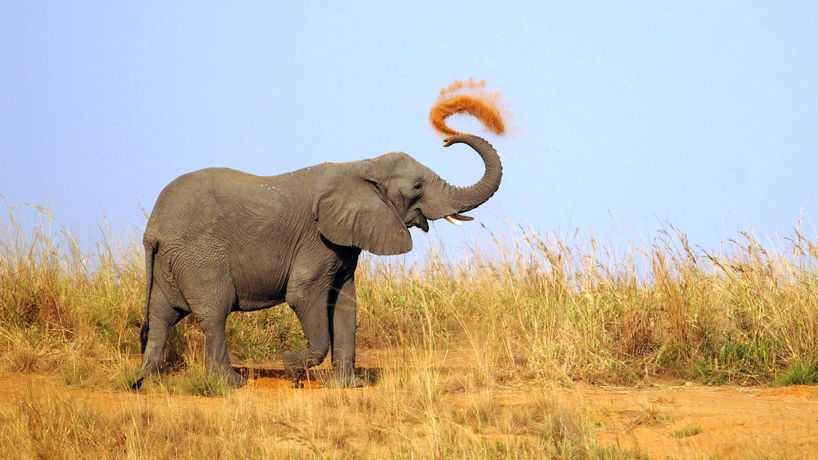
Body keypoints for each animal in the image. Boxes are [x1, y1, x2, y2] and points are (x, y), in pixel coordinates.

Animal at [134, 134, 501, 389]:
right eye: (417, 186)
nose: (447, 139)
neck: (360, 165)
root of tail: (154, 229)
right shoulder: (317, 240)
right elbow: (304, 295)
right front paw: (291, 368)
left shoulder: (345, 241)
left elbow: (345, 303)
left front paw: (349, 386)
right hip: (199, 257)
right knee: (213, 313)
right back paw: (232, 384)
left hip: (172, 261)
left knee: (162, 316)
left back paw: (149, 382)